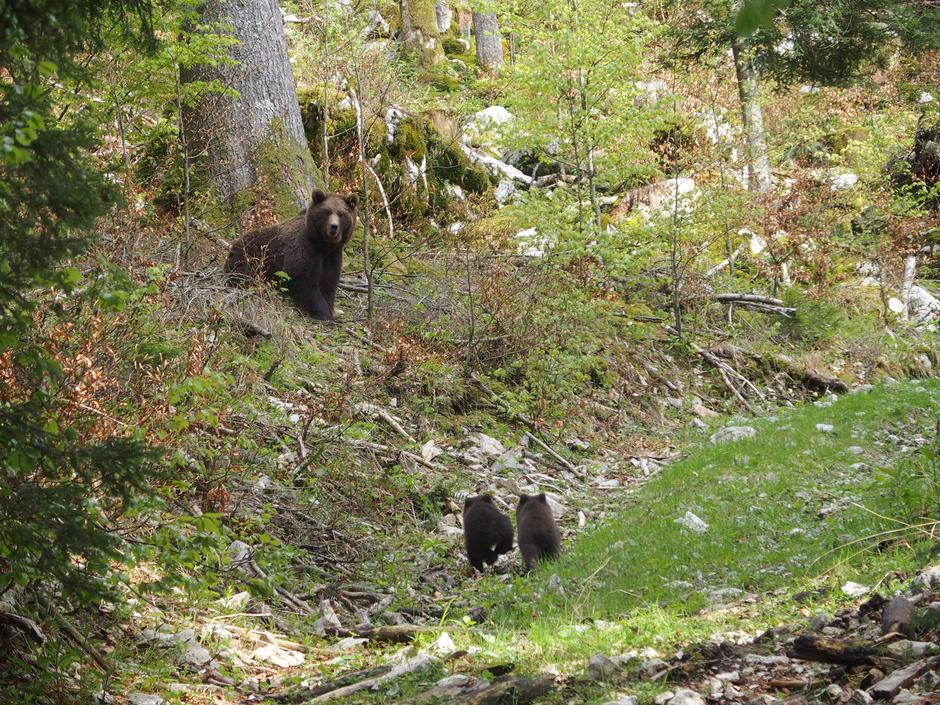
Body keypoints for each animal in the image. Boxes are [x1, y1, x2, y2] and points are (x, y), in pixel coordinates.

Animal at [226, 187, 358, 320]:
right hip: (250, 256)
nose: (333, 227)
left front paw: (330, 311)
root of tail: (234, 245)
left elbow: (328, 283)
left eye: (341, 214)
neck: (323, 245)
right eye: (327, 212)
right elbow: (305, 281)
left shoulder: (332, 256)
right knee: (242, 274)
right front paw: (323, 313)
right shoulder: (303, 248)